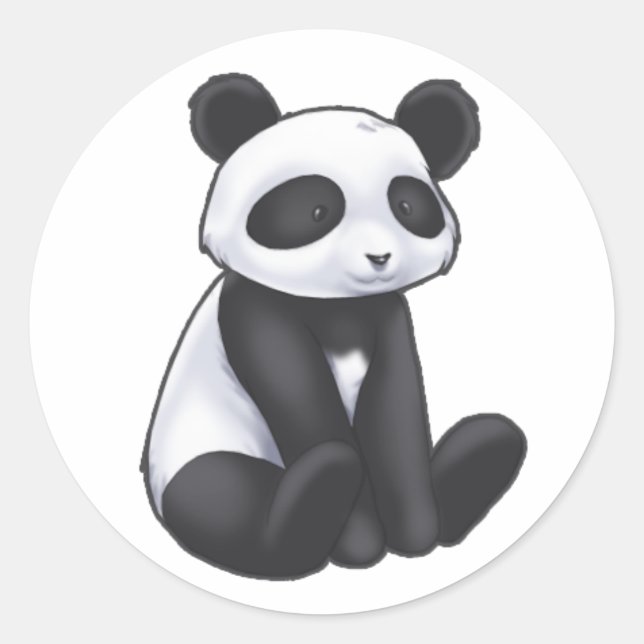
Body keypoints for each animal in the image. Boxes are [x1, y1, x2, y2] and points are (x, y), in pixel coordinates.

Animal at [141, 74, 527, 579]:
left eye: (406, 205)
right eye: (317, 210)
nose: (379, 256)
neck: (336, 306)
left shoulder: (385, 314)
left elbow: (395, 410)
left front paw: (415, 534)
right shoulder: (256, 308)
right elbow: (301, 401)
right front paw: (360, 544)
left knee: (484, 439)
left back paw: (481, 453)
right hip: (203, 452)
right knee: (222, 496)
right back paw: (318, 487)